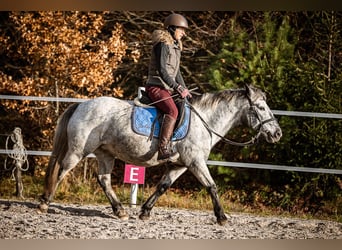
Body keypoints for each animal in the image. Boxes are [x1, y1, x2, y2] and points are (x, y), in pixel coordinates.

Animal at [38, 84, 282, 225]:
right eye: (261, 108)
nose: (277, 133)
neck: (204, 121)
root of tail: (81, 105)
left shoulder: (180, 165)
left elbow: (163, 186)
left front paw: (145, 212)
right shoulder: (195, 162)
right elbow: (211, 186)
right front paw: (222, 217)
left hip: (105, 154)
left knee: (104, 180)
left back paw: (120, 211)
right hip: (78, 150)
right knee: (61, 171)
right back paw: (44, 203)